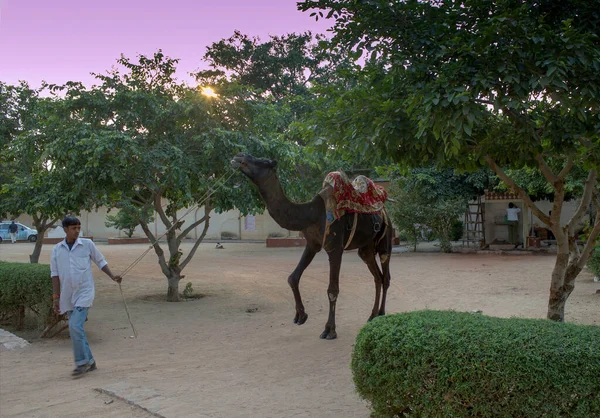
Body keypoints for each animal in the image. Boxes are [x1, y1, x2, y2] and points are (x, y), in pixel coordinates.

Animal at [231, 153, 394, 340]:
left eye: (263, 161)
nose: (239, 156)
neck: (311, 214)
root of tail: (384, 209)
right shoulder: (312, 244)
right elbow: (293, 277)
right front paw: (300, 315)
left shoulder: (334, 248)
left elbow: (332, 289)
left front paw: (330, 330)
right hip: (366, 248)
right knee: (377, 276)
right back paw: (372, 315)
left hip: (386, 240)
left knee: (386, 276)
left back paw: (382, 313)